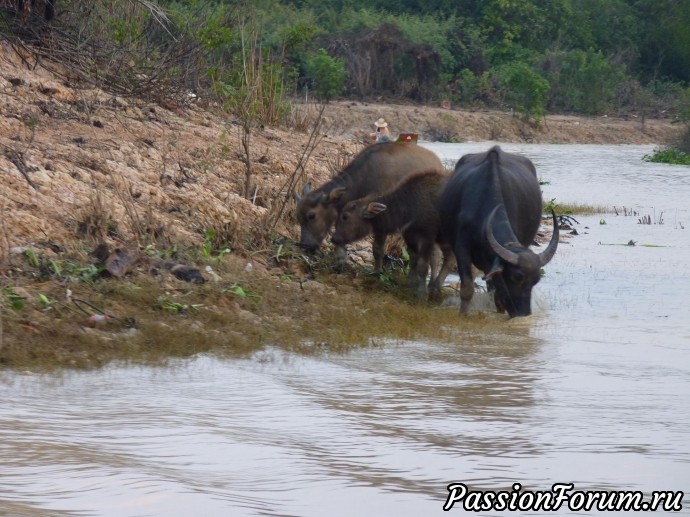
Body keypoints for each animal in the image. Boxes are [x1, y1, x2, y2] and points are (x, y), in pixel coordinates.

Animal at [292, 141, 444, 264]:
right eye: (298, 216)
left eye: (312, 215)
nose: (305, 245)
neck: (364, 179)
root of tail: (438, 163)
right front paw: (340, 258)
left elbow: (377, 248)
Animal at [436, 143, 560, 316]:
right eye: (517, 277)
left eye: (536, 280)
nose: (524, 313)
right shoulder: (461, 248)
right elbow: (467, 287)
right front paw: (463, 314)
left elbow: (498, 296)